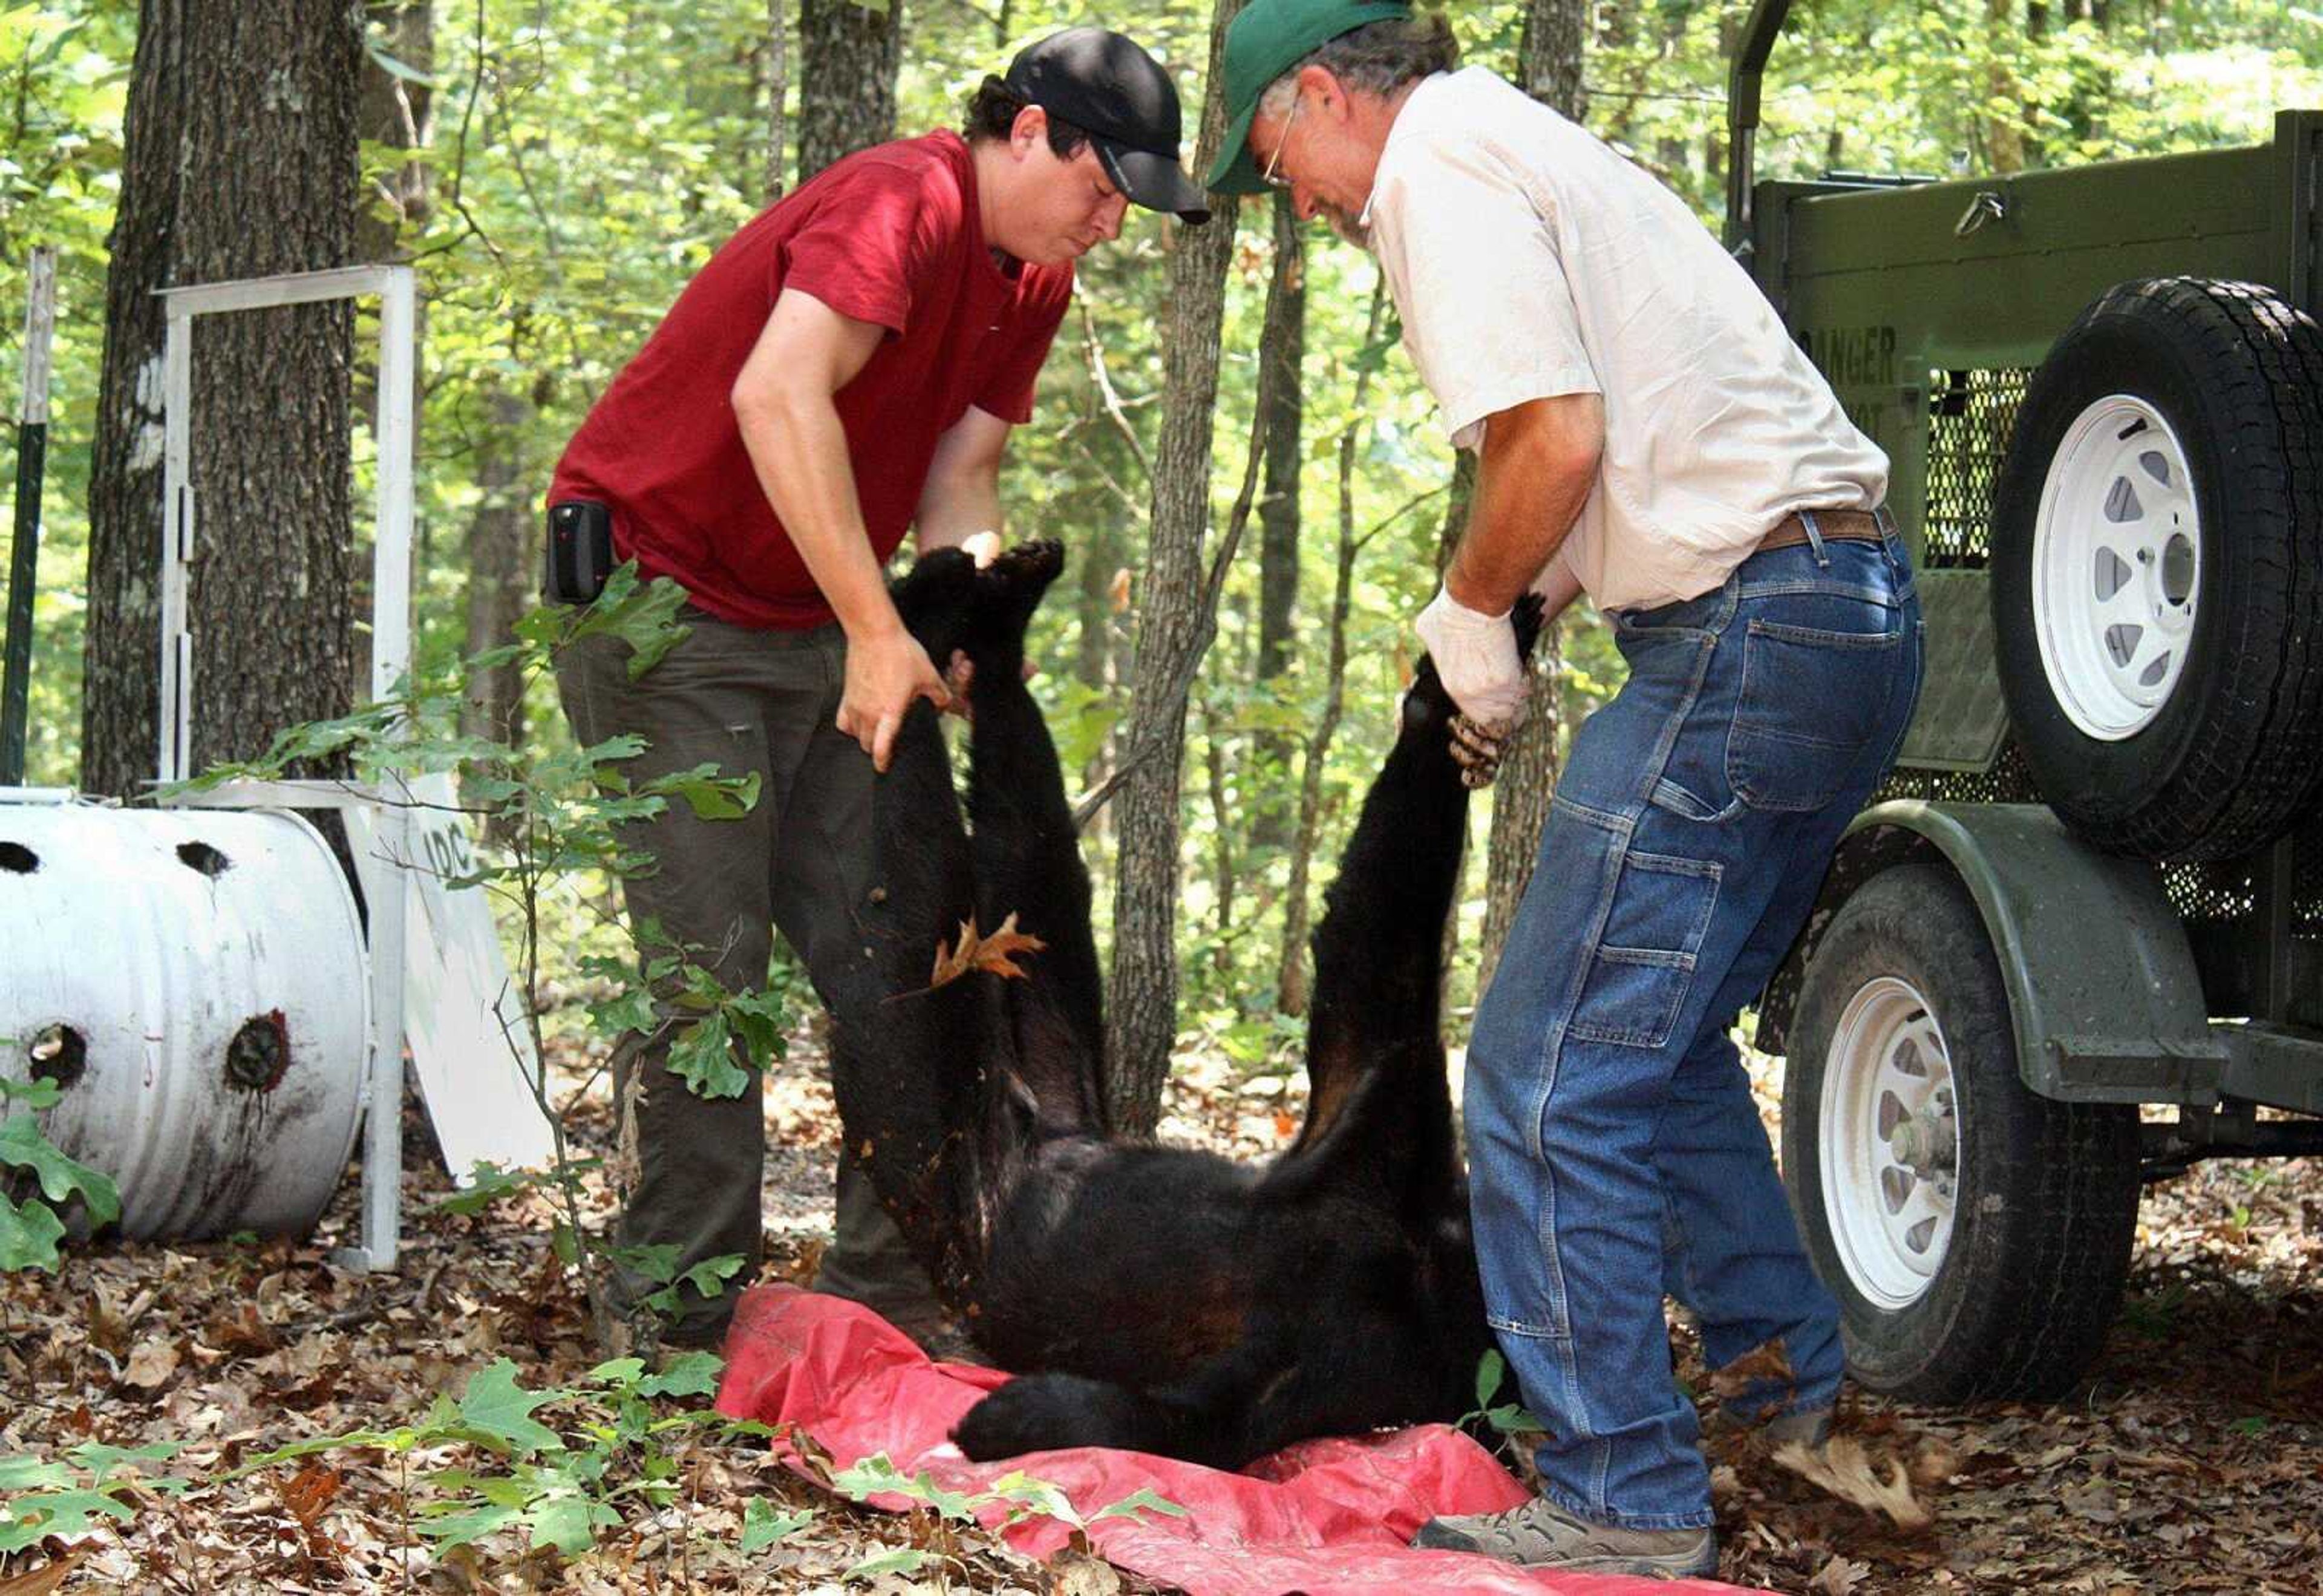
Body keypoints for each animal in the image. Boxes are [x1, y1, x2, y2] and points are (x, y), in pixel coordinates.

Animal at [827, 543, 1533, 1468]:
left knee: (906, 922)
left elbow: (1196, 1428)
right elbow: (1383, 942)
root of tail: (1047, 1129)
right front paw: (1463, 683)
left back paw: (924, 623)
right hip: (1047, 1065)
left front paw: (1015, 1417)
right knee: (1032, 846)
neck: (1427, 1259)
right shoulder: (1392, 1115)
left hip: (954, 1158)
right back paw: (994, 607)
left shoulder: (1343, 1362)